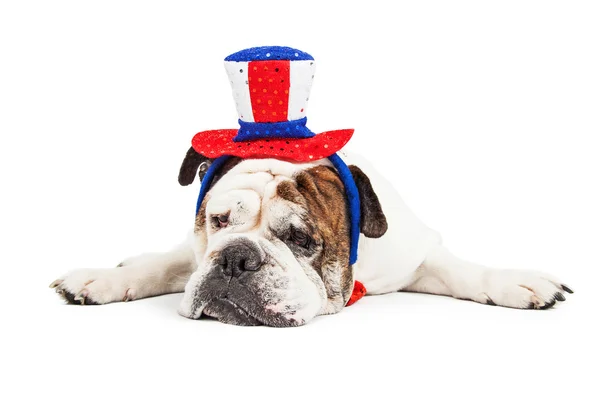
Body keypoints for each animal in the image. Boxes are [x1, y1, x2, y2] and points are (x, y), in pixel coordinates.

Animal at [49, 148, 576, 326]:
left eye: (301, 239)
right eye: (218, 221)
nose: (236, 258)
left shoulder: (415, 256)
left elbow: (461, 270)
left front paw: (517, 282)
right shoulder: (193, 255)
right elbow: (162, 264)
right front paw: (100, 278)